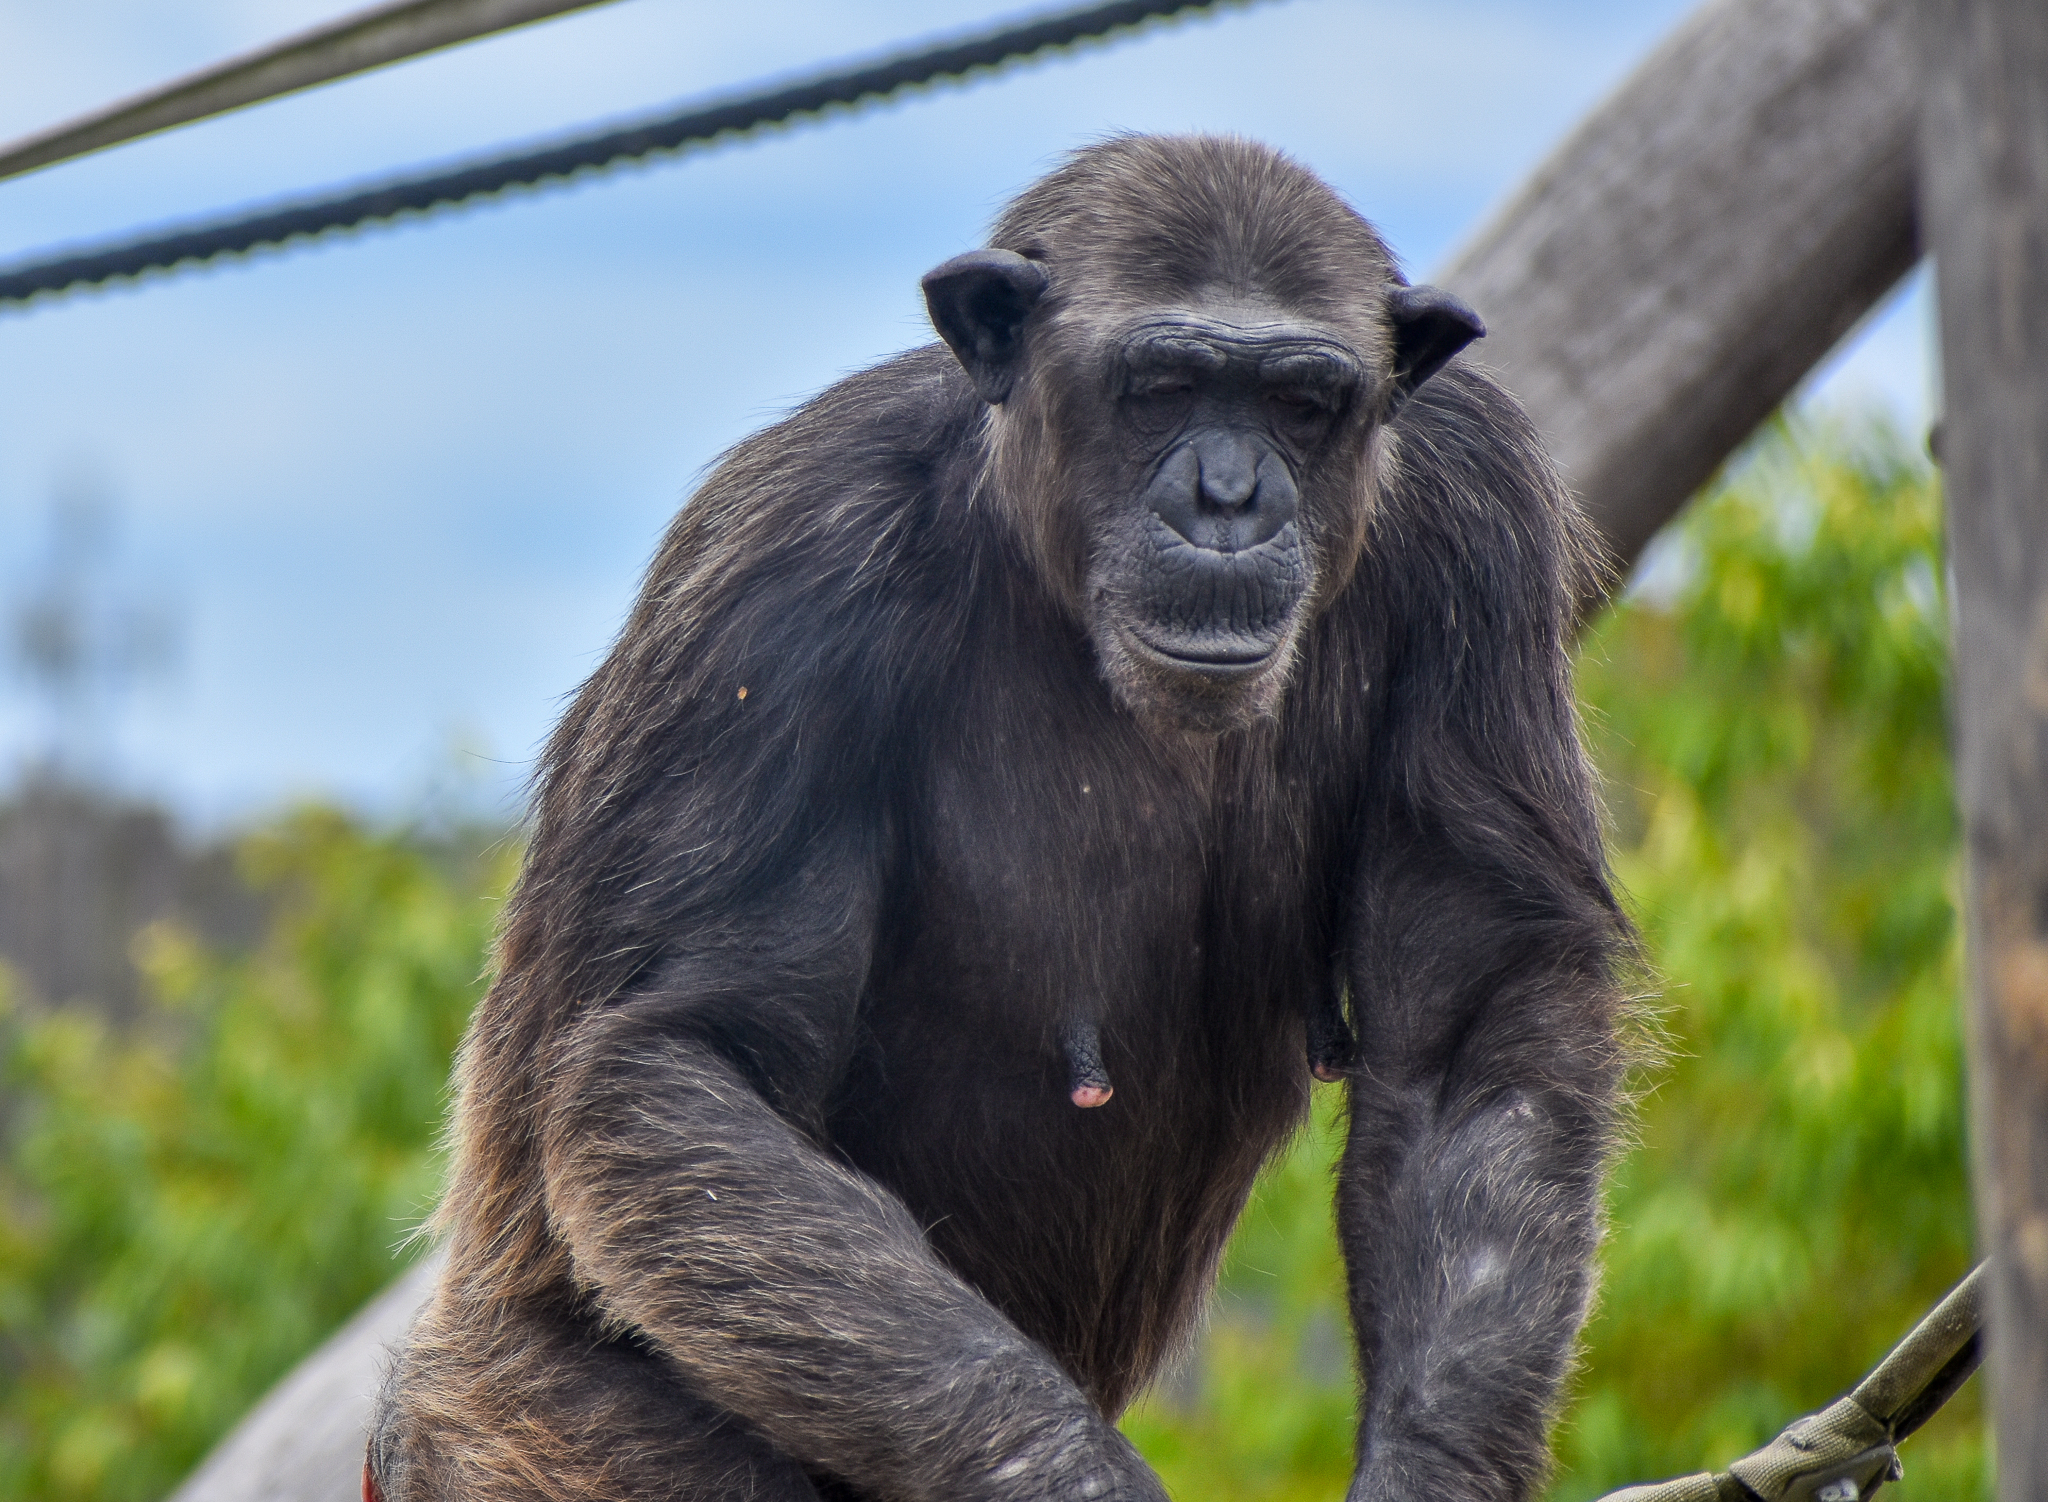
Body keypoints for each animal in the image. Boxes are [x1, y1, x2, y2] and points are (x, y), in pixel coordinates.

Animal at [368, 133, 1629, 1502]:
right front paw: (1068, 1476)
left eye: (1301, 401)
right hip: (520, 1419)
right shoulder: (777, 575)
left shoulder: (1479, 514)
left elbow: (1466, 1025)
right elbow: (686, 1054)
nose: (1228, 495)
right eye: (1161, 385)